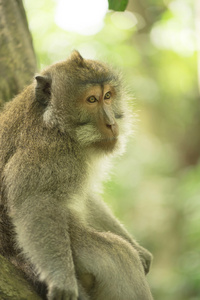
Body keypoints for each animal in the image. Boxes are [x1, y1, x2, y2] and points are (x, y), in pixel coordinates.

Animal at [0, 51, 153, 300]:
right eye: (91, 100)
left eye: (108, 96)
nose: (111, 123)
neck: (56, 125)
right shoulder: (47, 153)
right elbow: (36, 202)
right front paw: (61, 280)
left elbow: (85, 197)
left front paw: (140, 250)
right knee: (119, 254)